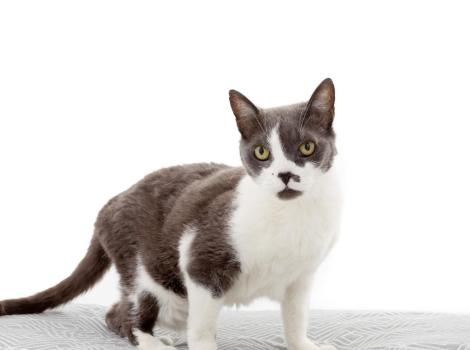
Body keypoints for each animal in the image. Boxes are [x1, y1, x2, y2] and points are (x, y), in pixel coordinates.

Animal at [0, 78, 340, 350]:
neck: (292, 216)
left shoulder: (301, 277)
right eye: (262, 153)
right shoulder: (202, 260)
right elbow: (202, 325)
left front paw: (303, 345)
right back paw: (152, 342)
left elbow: (295, 317)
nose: (285, 175)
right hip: (146, 275)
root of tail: (109, 205)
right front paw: (203, 346)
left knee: (114, 312)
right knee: (128, 312)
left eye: (307, 147)